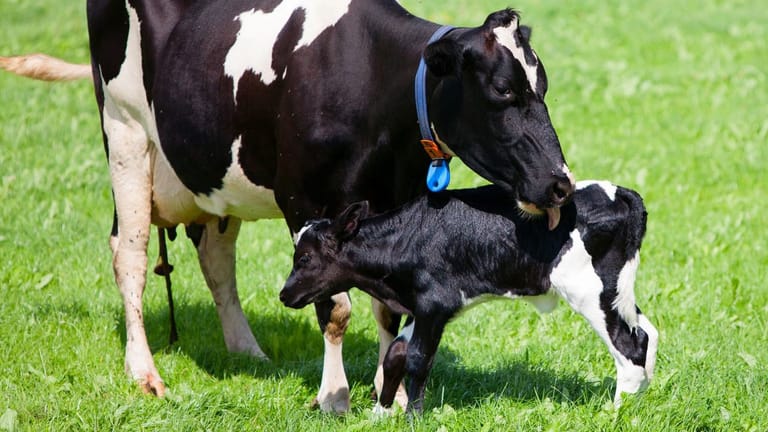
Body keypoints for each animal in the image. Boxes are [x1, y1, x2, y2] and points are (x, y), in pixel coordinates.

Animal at [1, 0, 575, 412]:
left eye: (544, 87)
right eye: (502, 91)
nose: (560, 185)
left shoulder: (395, 200)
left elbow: (389, 306)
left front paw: (389, 393)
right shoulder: (303, 200)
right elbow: (336, 307)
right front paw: (334, 397)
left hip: (213, 170)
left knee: (216, 257)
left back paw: (246, 350)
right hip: (124, 131)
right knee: (131, 254)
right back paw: (145, 373)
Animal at [280, 181, 659, 414]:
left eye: (305, 259)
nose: (284, 294)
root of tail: (621, 193)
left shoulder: (434, 303)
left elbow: (417, 358)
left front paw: (412, 416)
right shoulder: (423, 307)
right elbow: (395, 354)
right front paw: (380, 413)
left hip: (589, 291)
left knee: (629, 345)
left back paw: (617, 411)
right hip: (616, 289)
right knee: (647, 331)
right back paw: (638, 402)